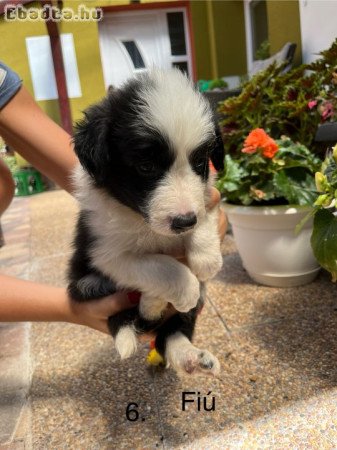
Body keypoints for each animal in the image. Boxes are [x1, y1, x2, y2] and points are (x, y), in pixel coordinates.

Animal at [68, 69, 223, 376]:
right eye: (146, 166)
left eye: (200, 162)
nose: (184, 221)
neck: (142, 221)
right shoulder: (107, 254)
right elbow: (163, 266)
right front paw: (185, 286)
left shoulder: (203, 198)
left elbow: (204, 208)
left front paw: (206, 259)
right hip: (84, 284)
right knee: (140, 315)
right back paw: (153, 304)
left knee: (171, 333)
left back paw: (192, 357)